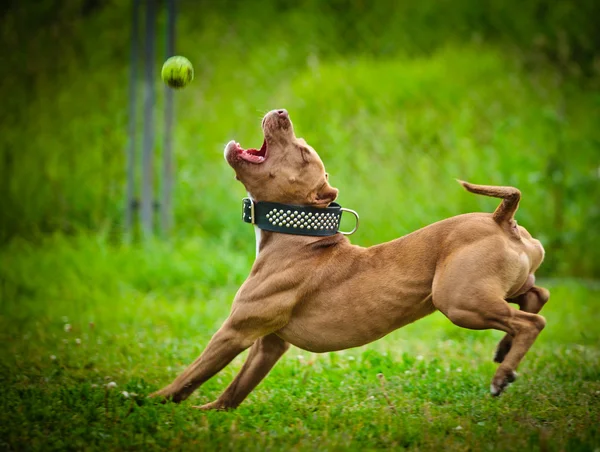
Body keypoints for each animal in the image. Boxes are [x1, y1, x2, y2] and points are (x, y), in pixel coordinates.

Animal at [149, 109, 548, 410]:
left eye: (303, 153)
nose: (282, 112)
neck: (297, 238)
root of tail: (500, 218)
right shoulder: (269, 344)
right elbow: (235, 390)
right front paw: (210, 413)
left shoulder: (236, 331)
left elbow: (192, 374)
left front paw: (151, 402)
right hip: (494, 288)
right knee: (536, 298)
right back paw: (504, 350)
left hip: (459, 301)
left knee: (531, 322)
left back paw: (502, 374)